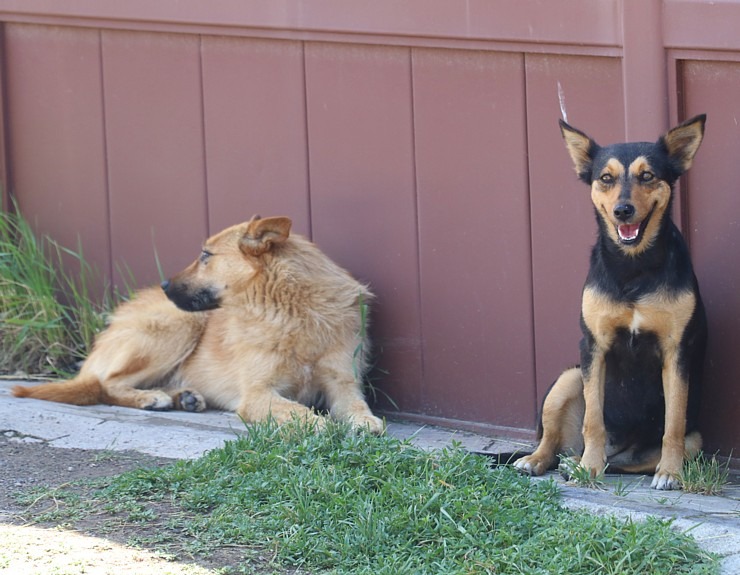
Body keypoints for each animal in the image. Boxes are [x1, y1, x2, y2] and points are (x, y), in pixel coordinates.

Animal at [14, 218, 384, 434]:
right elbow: (299, 412)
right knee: (106, 384)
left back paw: (183, 397)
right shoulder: (257, 394)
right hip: (180, 325)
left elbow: (358, 409)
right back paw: (150, 398)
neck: (292, 310)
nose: (164, 284)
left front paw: (365, 422)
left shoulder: (343, 384)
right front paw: (320, 425)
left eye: (206, 255)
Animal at [512, 116, 708, 490]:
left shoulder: (677, 350)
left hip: (695, 439)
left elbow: (673, 423)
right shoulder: (594, 346)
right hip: (568, 378)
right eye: (605, 178)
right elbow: (594, 420)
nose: (623, 210)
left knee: (628, 462)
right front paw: (589, 466)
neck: (633, 266)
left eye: (647, 176)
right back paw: (546, 460)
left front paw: (670, 472)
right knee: (552, 440)